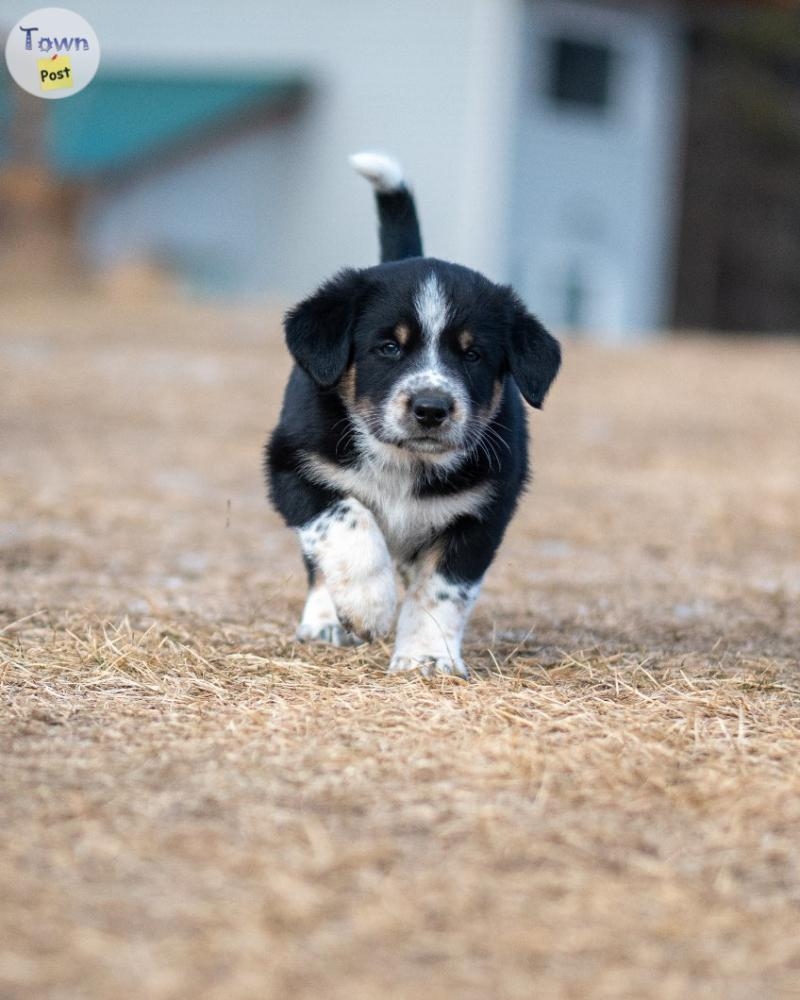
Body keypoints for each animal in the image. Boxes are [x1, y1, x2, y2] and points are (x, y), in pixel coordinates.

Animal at [266, 152, 560, 676]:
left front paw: (426, 657)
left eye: (473, 355)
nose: (431, 408)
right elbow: (346, 520)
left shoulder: (482, 512)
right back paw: (325, 620)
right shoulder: (292, 469)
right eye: (388, 347)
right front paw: (368, 605)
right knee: (320, 559)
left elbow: (441, 590)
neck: (406, 461)